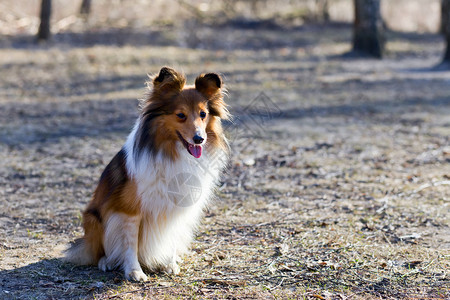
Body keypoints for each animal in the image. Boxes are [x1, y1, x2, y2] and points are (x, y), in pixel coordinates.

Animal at [64, 67, 229, 282]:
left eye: (203, 114)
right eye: (181, 115)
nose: (199, 139)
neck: (173, 152)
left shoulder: (175, 206)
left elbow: (171, 237)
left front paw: (170, 264)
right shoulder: (130, 211)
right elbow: (130, 244)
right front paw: (134, 272)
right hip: (94, 218)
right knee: (98, 251)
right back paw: (106, 261)